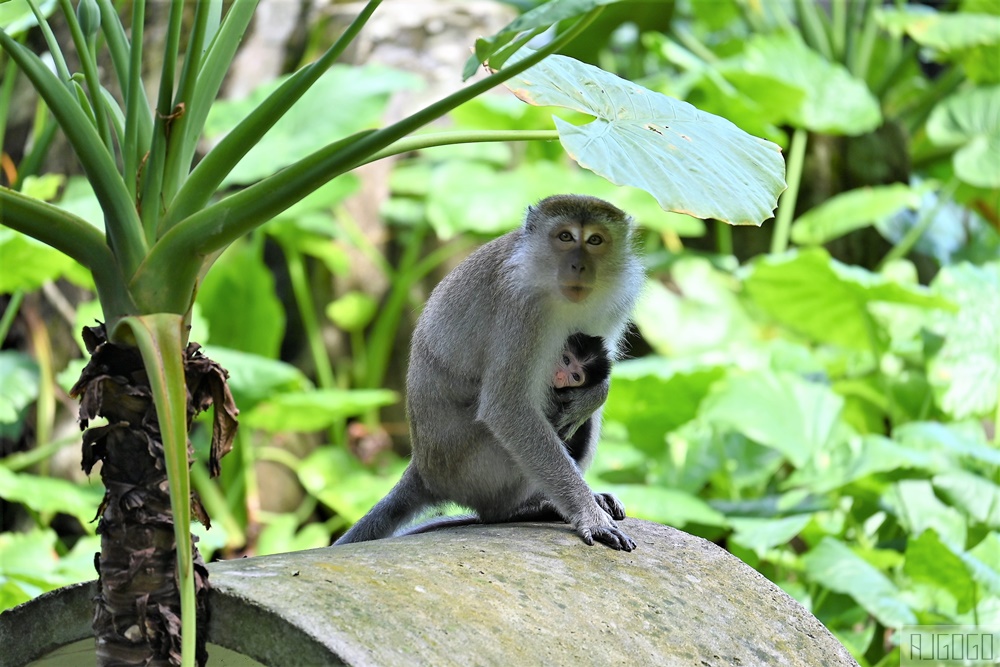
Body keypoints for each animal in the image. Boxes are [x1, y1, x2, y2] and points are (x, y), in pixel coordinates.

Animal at [336, 193, 644, 548]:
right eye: (566, 237)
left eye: (595, 240)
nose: (578, 266)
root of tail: (424, 469)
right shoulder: (520, 309)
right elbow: (508, 409)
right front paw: (589, 516)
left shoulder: (616, 304)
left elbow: (597, 376)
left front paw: (592, 396)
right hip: (476, 470)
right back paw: (521, 509)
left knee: (581, 423)